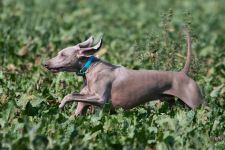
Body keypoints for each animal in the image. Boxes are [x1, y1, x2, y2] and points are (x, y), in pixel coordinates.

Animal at [44, 29, 204, 115]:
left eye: (62, 54)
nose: (45, 63)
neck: (90, 68)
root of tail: (183, 73)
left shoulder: (100, 99)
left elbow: (69, 95)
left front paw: (61, 105)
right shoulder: (83, 103)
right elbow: (76, 109)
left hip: (196, 103)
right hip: (177, 103)